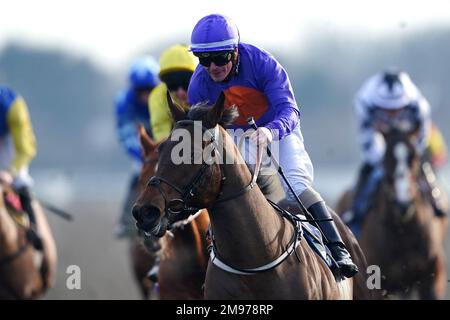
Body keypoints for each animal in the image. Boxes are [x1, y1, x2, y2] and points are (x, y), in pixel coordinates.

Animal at [338, 129, 446, 298]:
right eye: (386, 158)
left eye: (414, 157)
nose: (403, 204)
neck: (402, 231)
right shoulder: (379, 280)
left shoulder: (431, 275)